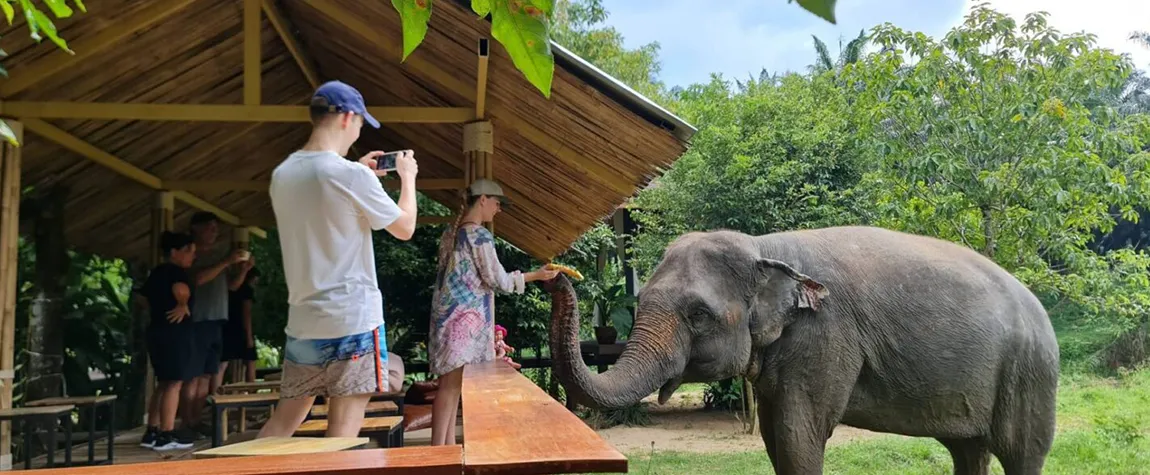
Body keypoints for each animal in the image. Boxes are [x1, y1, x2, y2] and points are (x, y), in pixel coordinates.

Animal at [546, 226, 1059, 475]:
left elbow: (799, 437)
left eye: (698, 315)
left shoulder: (824, 335)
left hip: (1028, 373)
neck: (764, 247)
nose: (556, 273)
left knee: (1021, 452)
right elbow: (775, 438)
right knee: (968, 450)